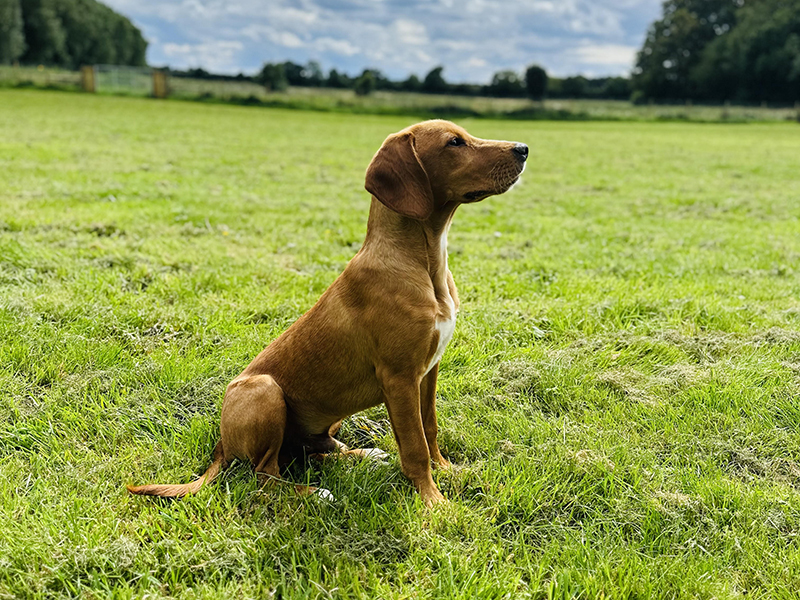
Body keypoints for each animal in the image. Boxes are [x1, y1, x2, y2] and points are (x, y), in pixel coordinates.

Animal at [126, 119, 524, 504]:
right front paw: (433, 502)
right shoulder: (399, 378)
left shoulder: (428, 371)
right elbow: (415, 447)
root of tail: (221, 443)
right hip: (264, 391)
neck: (423, 265)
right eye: (454, 143)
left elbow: (430, 427)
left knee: (317, 453)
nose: (523, 148)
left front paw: (448, 471)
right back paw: (315, 493)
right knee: (265, 476)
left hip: (325, 421)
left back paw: (362, 455)